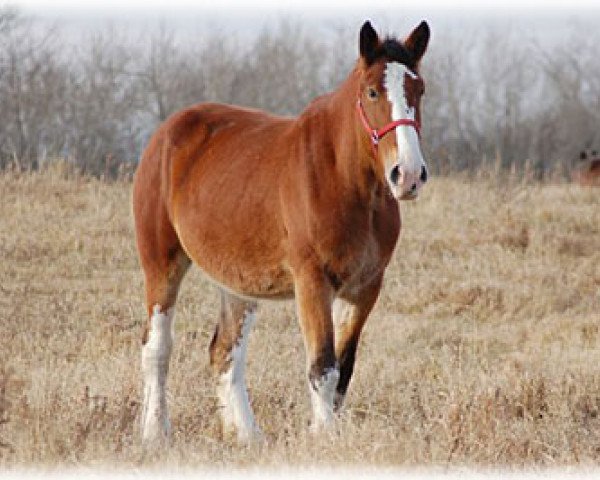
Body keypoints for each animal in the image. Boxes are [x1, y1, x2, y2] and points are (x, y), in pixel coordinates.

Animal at [133, 20, 428, 444]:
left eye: (419, 90)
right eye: (372, 91)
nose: (408, 175)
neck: (348, 181)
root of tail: (166, 133)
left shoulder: (365, 287)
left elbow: (344, 369)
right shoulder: (312, 282)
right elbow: (323, 367)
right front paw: (324, 439)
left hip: (238, 282)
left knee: (225, 352)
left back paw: (249, 437)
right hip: (161, 262)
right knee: (157, 347)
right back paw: (156, 433)